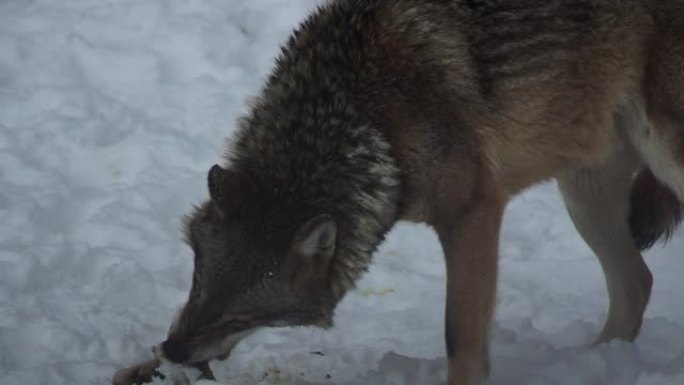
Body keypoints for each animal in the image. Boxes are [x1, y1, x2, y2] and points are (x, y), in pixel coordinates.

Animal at [115, 0, 680, 384]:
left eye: (242, 317)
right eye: (197, 283)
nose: (175, 349)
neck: (365, 117)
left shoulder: (475, 213)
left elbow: (460, 337)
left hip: (662, 160)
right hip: (584, 195)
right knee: (638, 282)